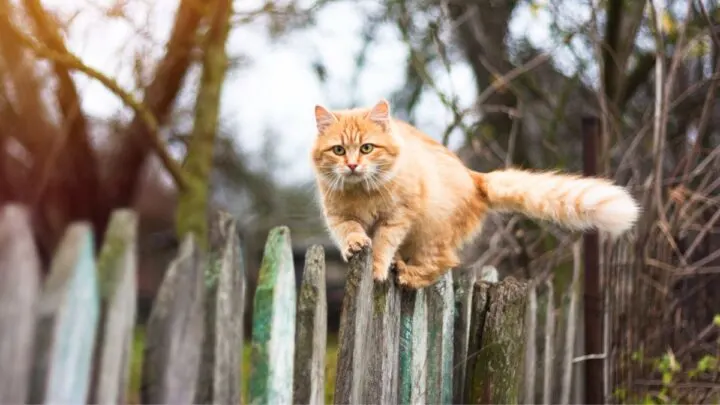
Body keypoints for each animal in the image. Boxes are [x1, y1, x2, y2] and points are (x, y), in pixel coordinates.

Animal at [306, 98, 640, 288]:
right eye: (338, 151)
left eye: (366, 148)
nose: (352, 165)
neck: (362, 192)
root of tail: (473, 176)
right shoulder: (338, 217)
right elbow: (351, 231)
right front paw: (355, 245)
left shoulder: (398, 216)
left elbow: (382, 245)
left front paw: (376, 268)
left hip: (433, 234)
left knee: (442, 264)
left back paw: (407, 275)